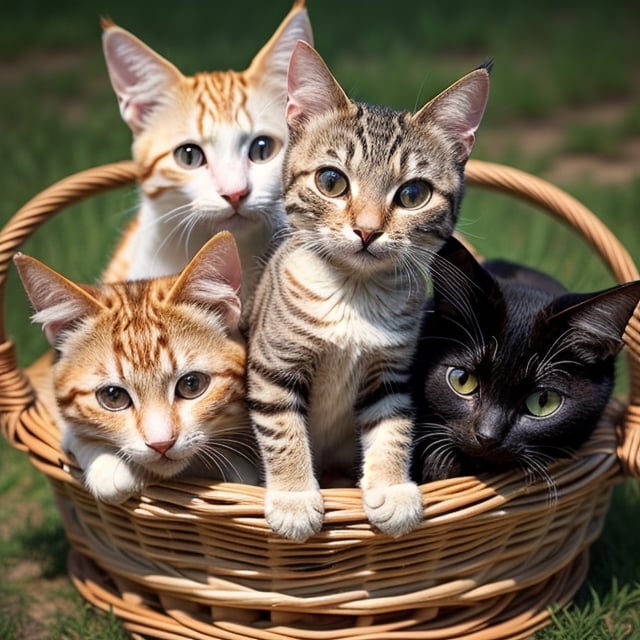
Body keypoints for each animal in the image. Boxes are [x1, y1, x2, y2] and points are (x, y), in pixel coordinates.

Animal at [245, 41, 490, 540]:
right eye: (331, 181)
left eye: (413, 194)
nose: (367, 230)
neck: (353, 297)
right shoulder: (273, 365)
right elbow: (282, 430)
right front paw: (294, 498)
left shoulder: (391, 373)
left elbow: (393, 426)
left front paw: (391, 487)